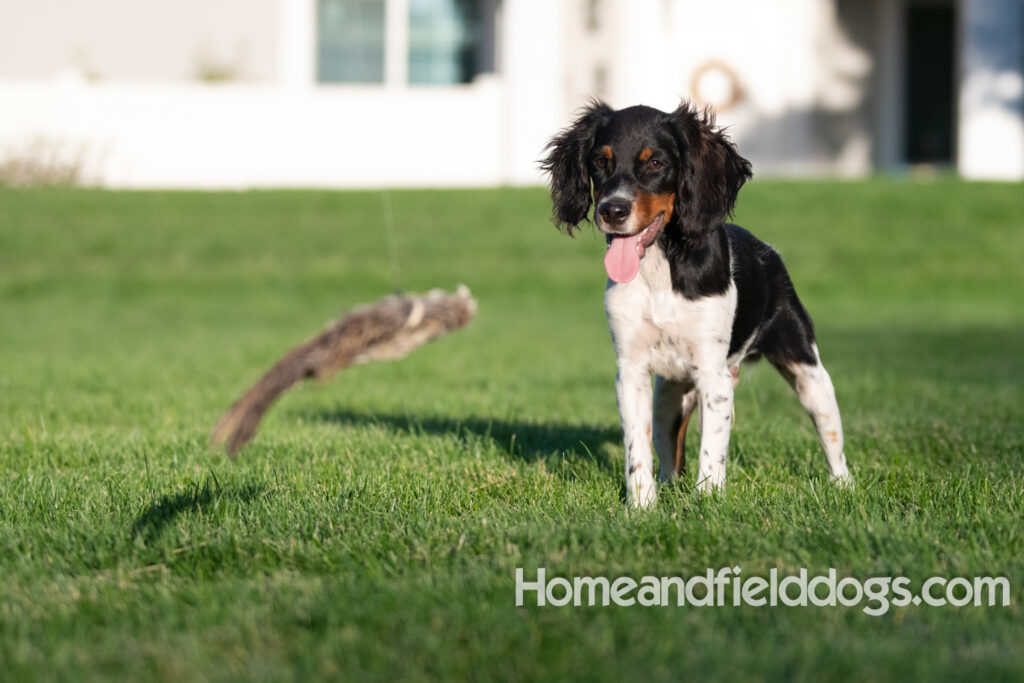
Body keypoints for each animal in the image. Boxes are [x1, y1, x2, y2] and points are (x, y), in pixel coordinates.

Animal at [540, 101, 851, 507]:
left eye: (656, 163)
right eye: (599, 162)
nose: (612, 210)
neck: (660, 268)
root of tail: (769, 251)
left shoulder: (713, 375)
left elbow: (712, 452)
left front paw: (709, 502)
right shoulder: (631, 371)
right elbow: (637, 447)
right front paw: (641, 506)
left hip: (808, 372)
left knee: (831, 437)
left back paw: (843, 487)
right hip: (668, 395)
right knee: (669, 449)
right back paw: (668, 485)